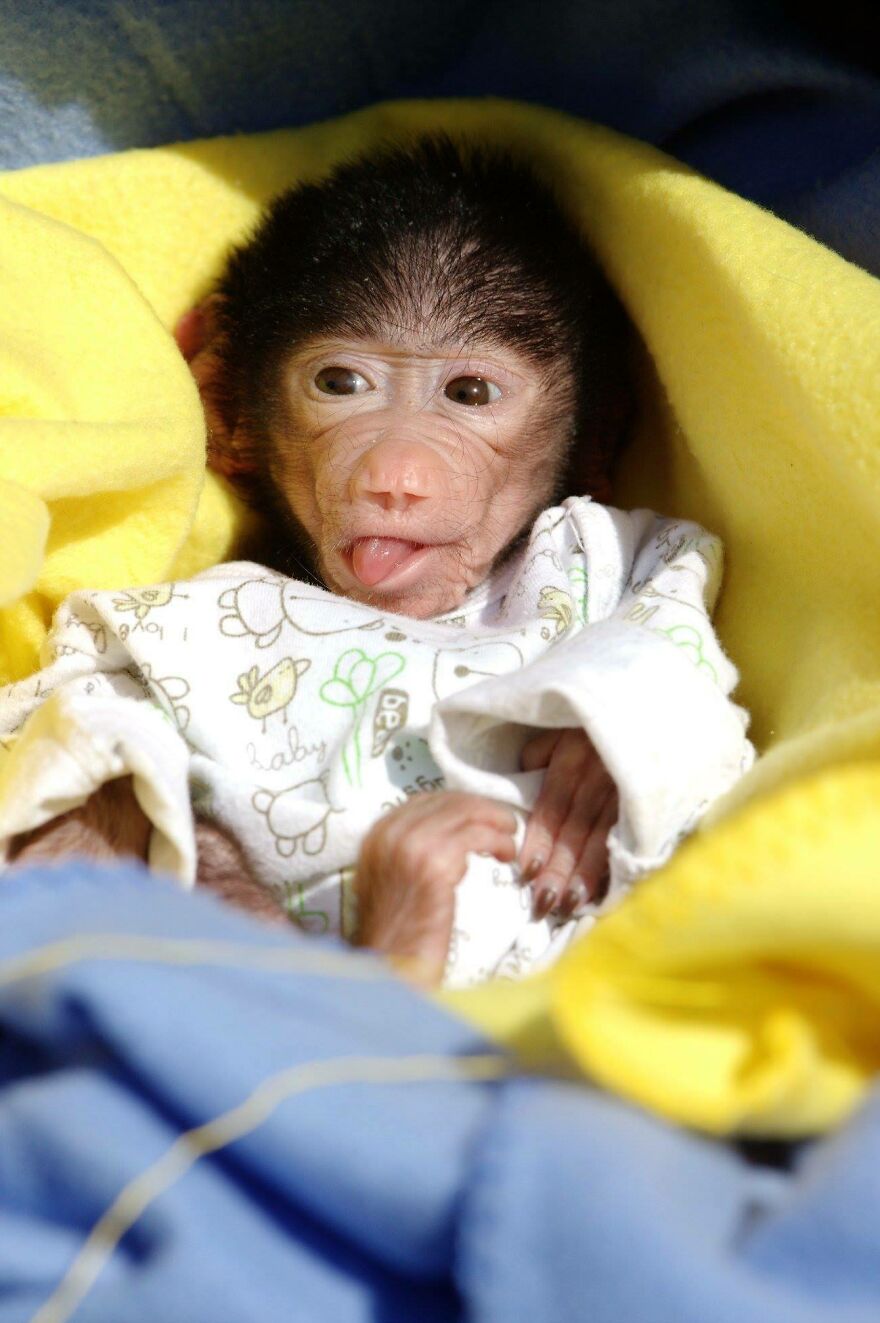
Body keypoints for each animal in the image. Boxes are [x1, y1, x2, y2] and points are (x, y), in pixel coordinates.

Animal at [5, 136, 746, 986]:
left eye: (470, 392)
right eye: (340, 383)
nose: (394, 475)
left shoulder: (613, 531)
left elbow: (676, 588)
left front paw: (585, 776)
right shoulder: (116, 635)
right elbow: (77, 720)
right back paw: (406, 923)